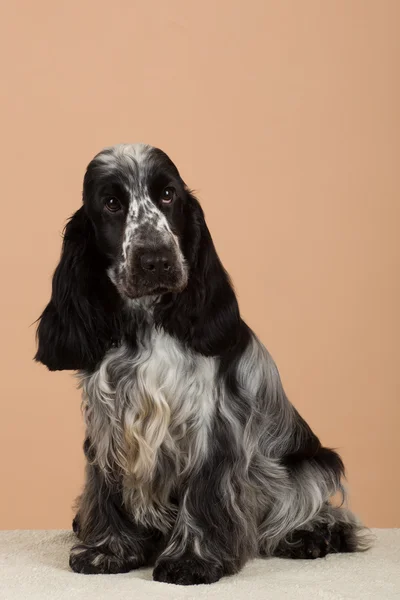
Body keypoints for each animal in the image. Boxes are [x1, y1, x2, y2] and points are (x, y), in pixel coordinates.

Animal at [35, 143, 368, 584]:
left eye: (168, 195)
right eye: (111, 203)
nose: (156, 259)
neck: (149, 323)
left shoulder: (213, 427)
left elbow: (205, 493)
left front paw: (192, 561)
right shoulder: (108, 424)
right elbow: (106, 490)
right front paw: (107, 551)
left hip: (308, 467)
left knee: (326, 512)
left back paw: (310, 536)